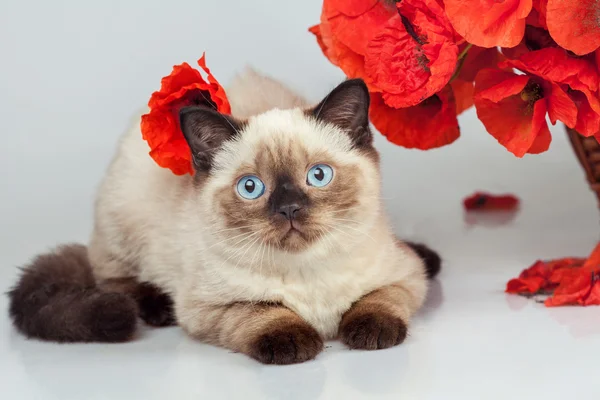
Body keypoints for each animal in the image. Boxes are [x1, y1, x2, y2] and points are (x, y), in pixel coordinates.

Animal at [8, 69, 440, 366]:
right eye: (251, 187)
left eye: (318, 176)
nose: (289, 209)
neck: (306, 271)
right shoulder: (210, 308)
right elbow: (264, 311)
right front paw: (294, 343)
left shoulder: (405, 277)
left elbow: (378, 300)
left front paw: (372, 332)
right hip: (124, 228)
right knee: (112, 278)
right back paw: (153, 306)